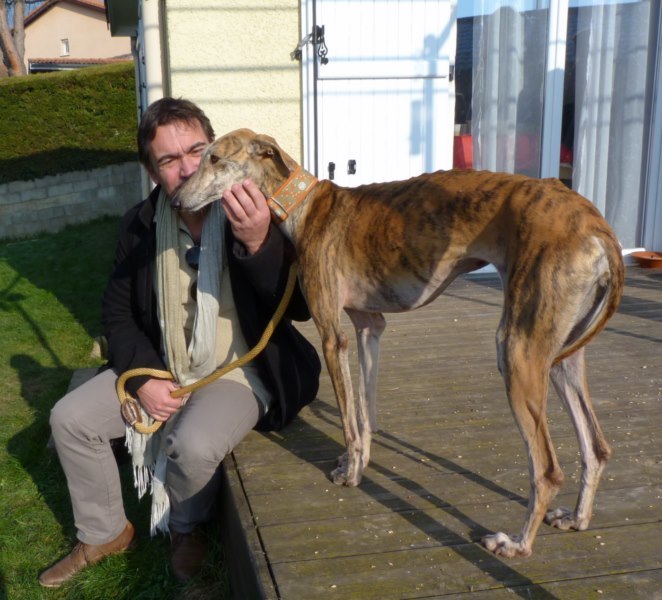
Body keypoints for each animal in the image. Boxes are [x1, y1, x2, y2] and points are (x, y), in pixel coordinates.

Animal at [172, 128, 624, 558]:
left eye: (214, 158)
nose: (176, 200)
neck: (304, 205)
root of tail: (596, 225)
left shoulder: (333, 336)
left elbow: (350, 420)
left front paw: (350, 475)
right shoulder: (369, 328)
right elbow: (365, 413)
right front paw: (359, 463)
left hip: (516, 349)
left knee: (547, 469)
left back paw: (516, 544)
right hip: (560, 355)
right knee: (596, 446)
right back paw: (577, 518)